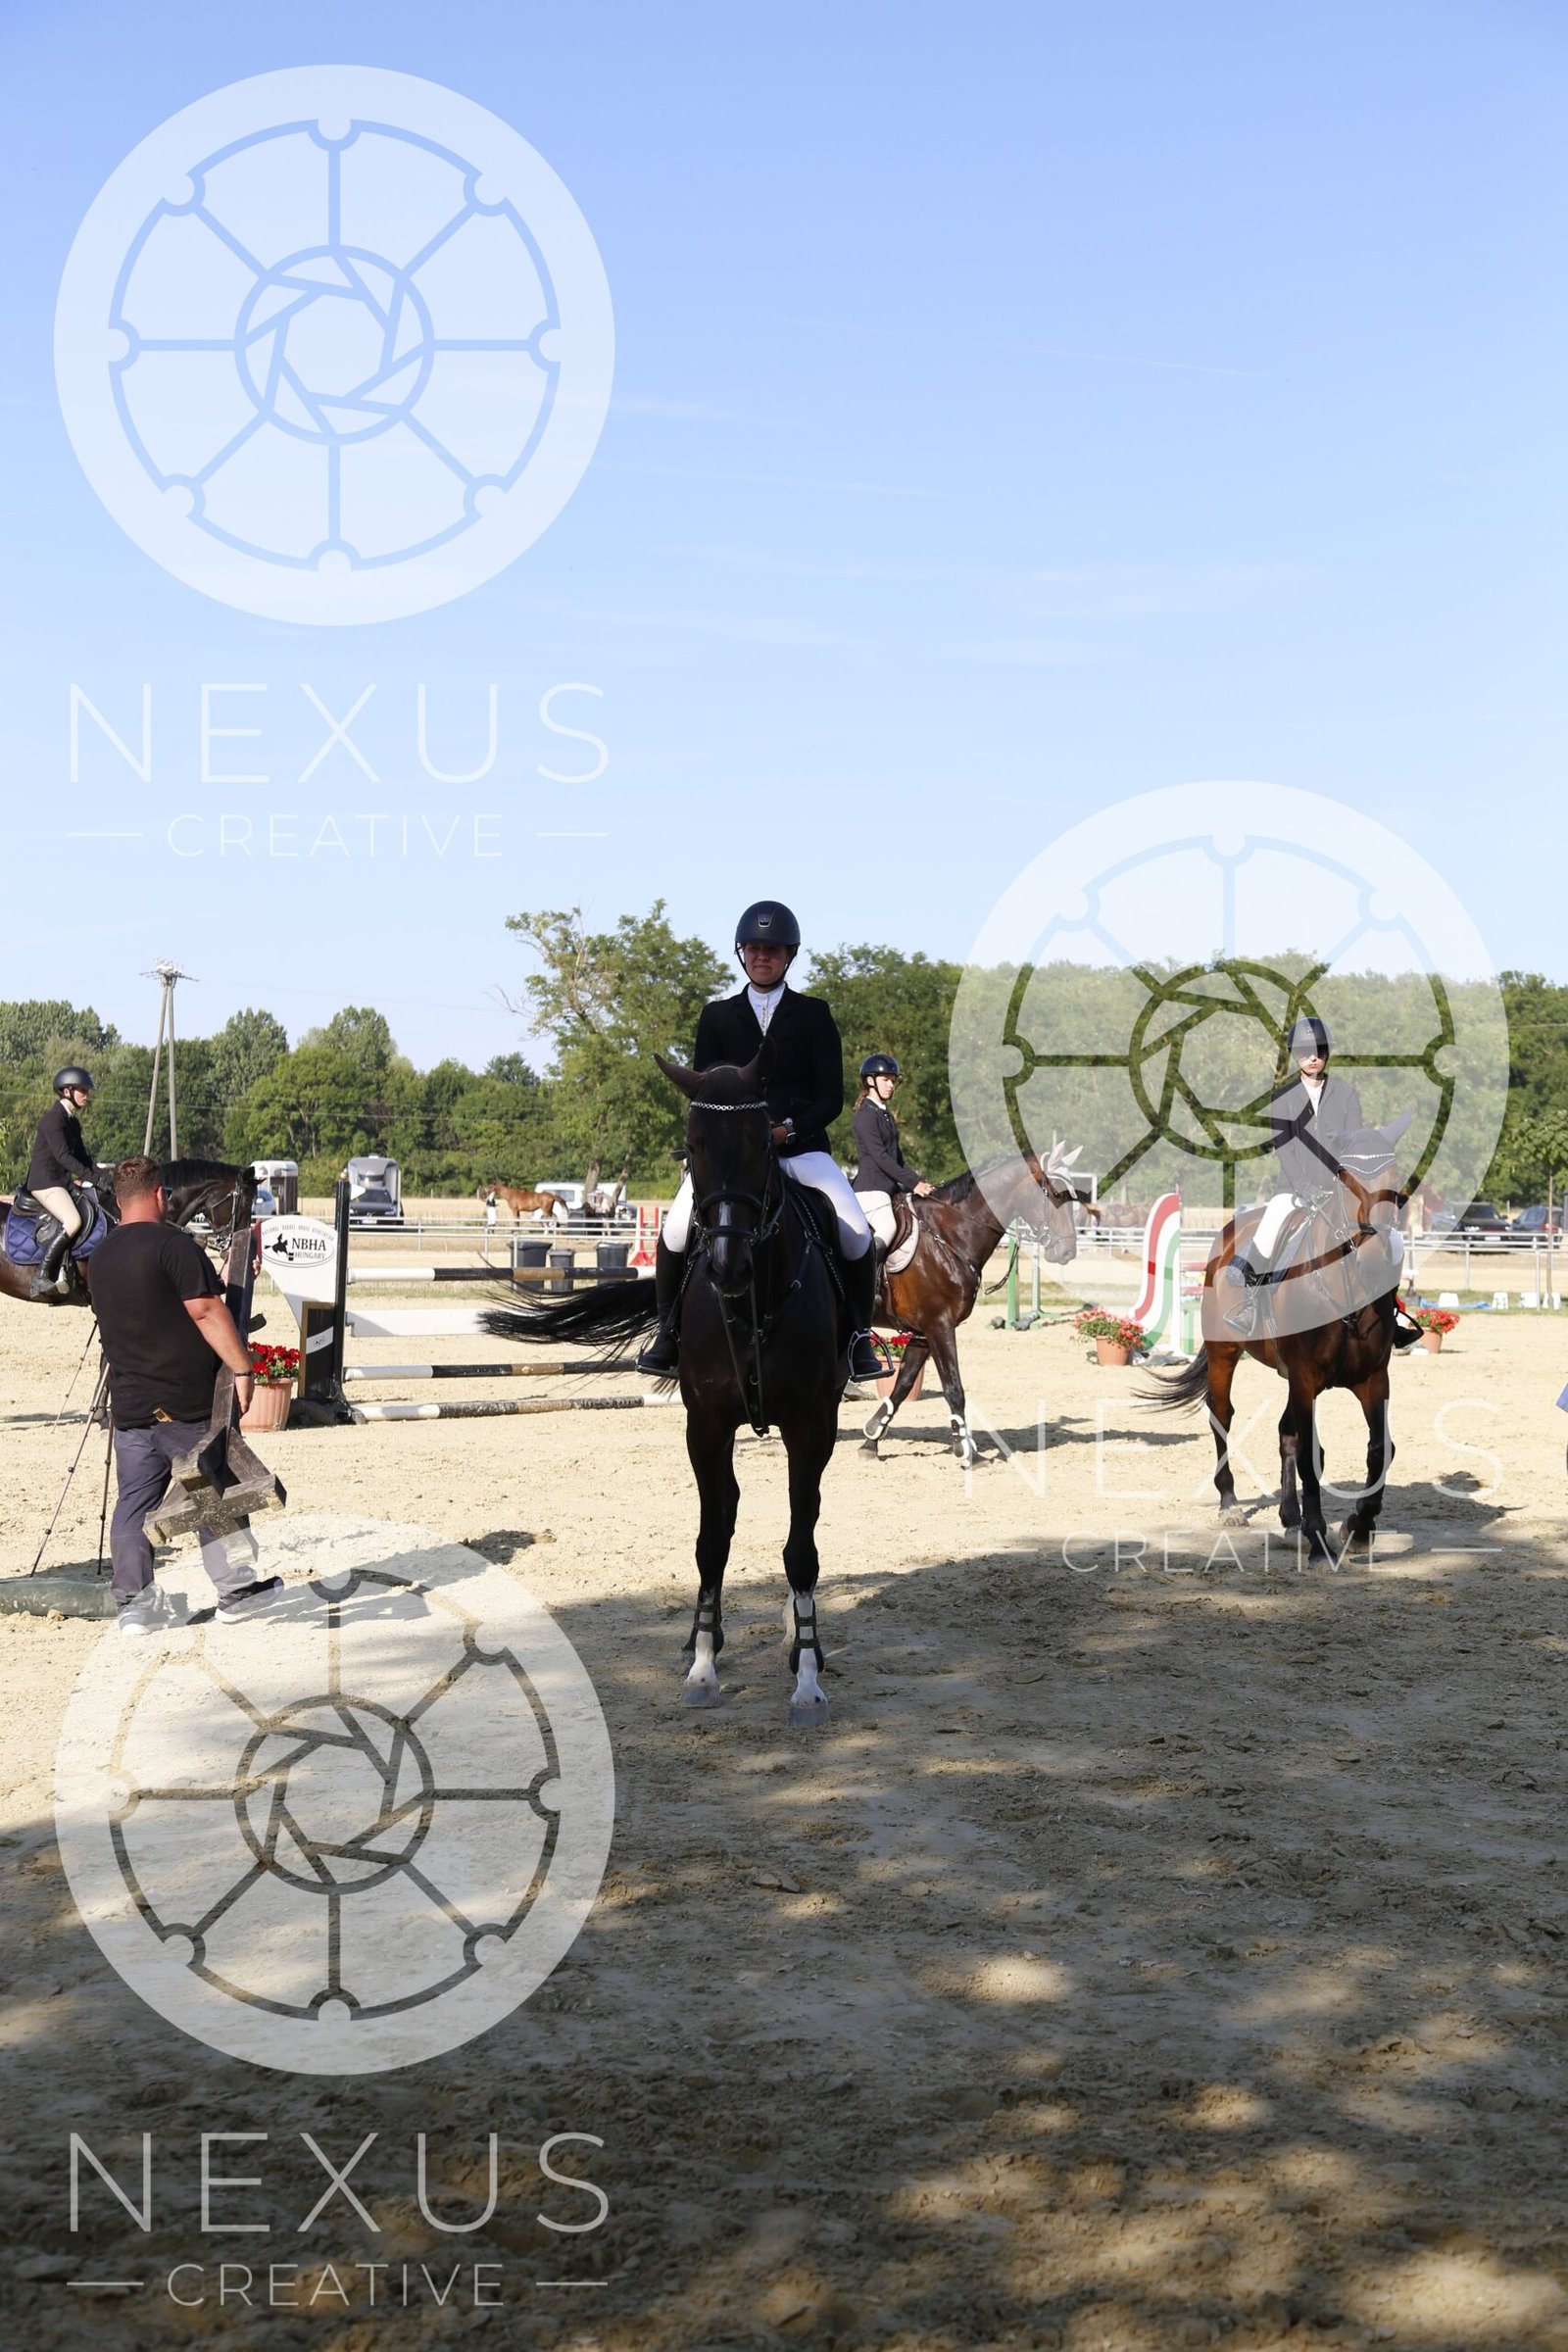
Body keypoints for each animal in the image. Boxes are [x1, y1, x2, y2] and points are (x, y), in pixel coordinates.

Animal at [480, 1050, 847, 1729]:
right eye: (693, 1145)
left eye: (763, 1143)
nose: (728, 1266)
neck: (750, 1302)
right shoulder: (705, 1426)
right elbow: (710, 1542)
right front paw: (702, 1668)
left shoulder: (811, 1426)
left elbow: (801, 1548)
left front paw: (808, 1678)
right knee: (728, 1512)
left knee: (799, 1520)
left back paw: (793, 1633)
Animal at [861, 1143, 1085, 1467]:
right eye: (1056, 1195)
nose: (1068, 1251)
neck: (949, 1234)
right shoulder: (939, 1324)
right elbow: (954, 1387)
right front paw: (965, 1450)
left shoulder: (922, 1331)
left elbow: (903, 1384)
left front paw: (871, 1438)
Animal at [1145, 1120, 1410, 1562]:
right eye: (1344, 1176)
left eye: (1396, 1176)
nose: (1376, 1255)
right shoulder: (1305, 1378)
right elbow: (1309, 1455)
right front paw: (1319, 1536)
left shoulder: (1372, 1378)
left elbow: (1380, 1449)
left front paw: (1358, 1526)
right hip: (1226, 1354)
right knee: (1222, 1416)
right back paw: (1231, 1505)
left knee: (1286, 1431)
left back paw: (1289, 1519)